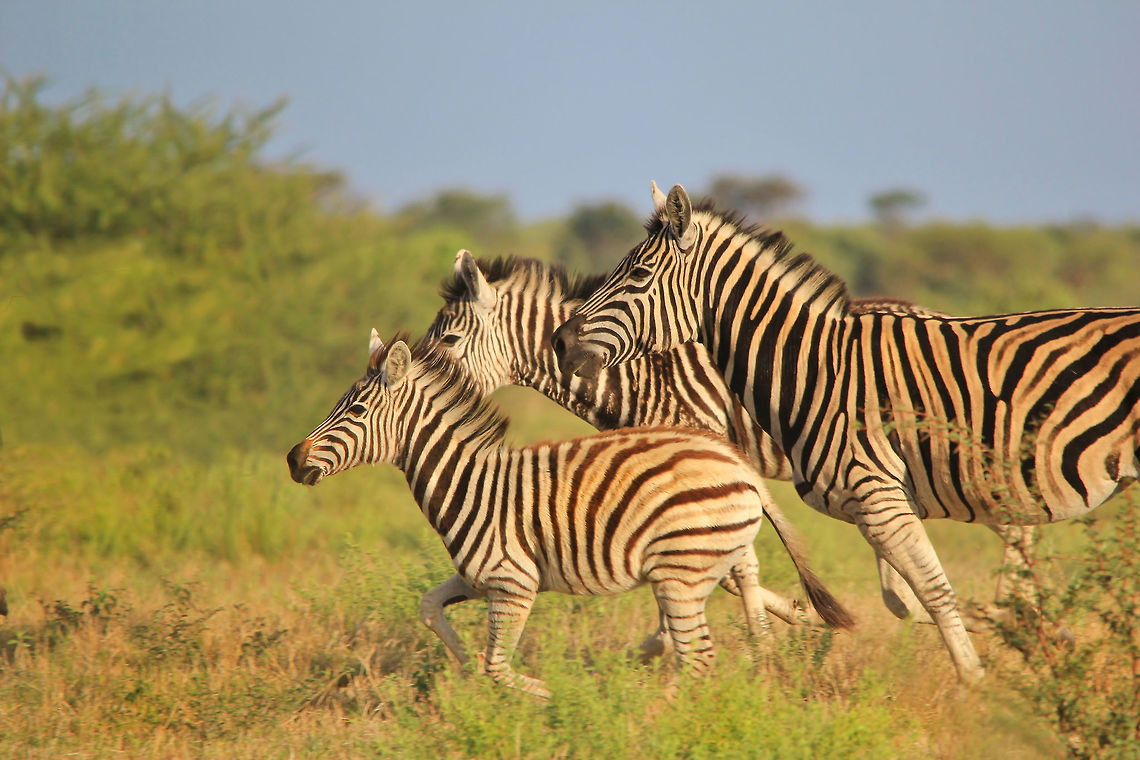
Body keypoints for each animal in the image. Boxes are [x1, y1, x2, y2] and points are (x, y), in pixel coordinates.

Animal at [286, 331, 853, 696]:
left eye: (357, 411)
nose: (293, 459)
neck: (469, 482)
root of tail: (737, 463)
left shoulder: (513, 582)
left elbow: (498, 667)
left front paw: (554, 694)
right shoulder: (479, 578)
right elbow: (430, 609)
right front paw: (465, 665)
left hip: (681, 571)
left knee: (698, 658)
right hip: (705, 557)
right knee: (739, 599)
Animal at [427, 249, 1033, 630]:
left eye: (449, 339)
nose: (413, 373)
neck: (635, 371)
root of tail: (935, 313)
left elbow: (732, 567)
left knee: (1012, 523)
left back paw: (1009, 616)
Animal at [552, 182, 1140, 683]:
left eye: (637, 276)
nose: (559, 341)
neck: (816, 368)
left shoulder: (879, 496)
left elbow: (934, 593)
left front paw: (976, 686)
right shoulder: (875, 505)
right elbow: (907, 598)